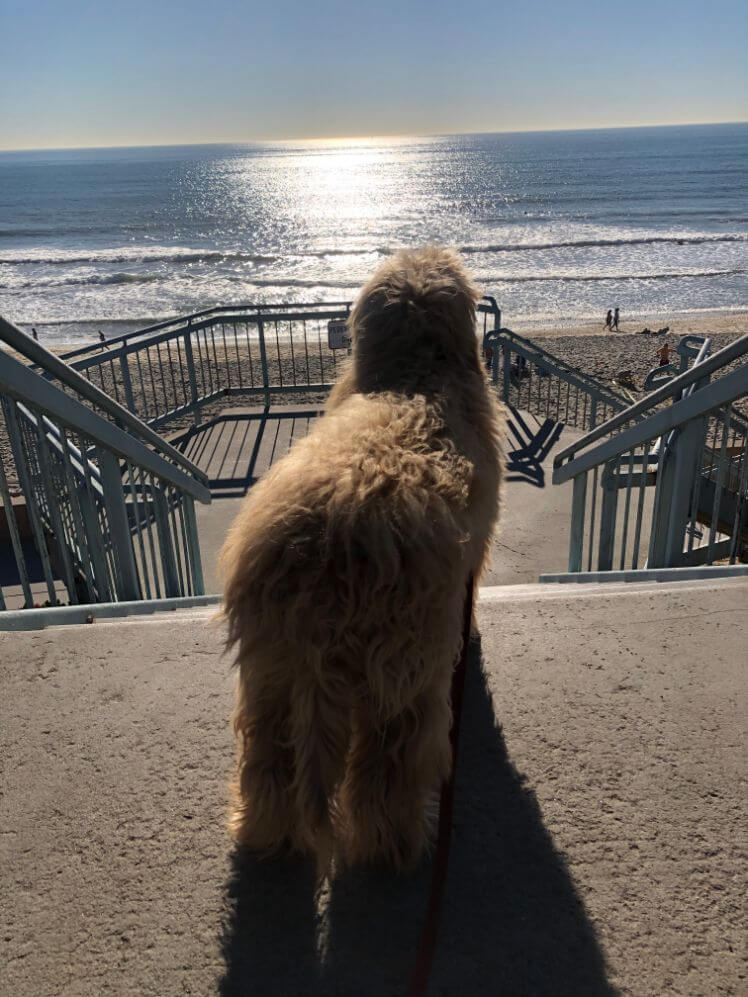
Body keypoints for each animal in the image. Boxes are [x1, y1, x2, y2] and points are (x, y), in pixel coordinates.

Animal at [219, 249, 506, 872]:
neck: (416, 379)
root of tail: (322, 550)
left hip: (271, 670)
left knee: (268, 760)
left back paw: (265, 832)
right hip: (399, 671)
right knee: (386, 768)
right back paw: (394, 845)